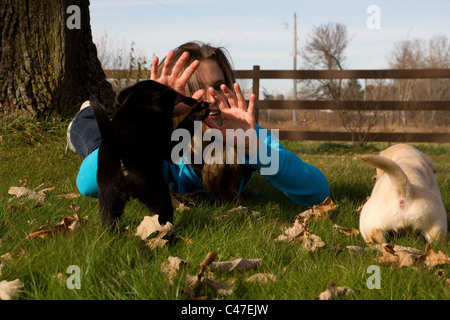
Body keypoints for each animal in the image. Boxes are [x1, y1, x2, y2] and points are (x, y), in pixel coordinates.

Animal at [91, 80, 211, 226]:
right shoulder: (170, 149)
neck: (138, 102)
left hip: (108, 200)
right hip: (158, 193)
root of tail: (119, 156)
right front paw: (200, 110)